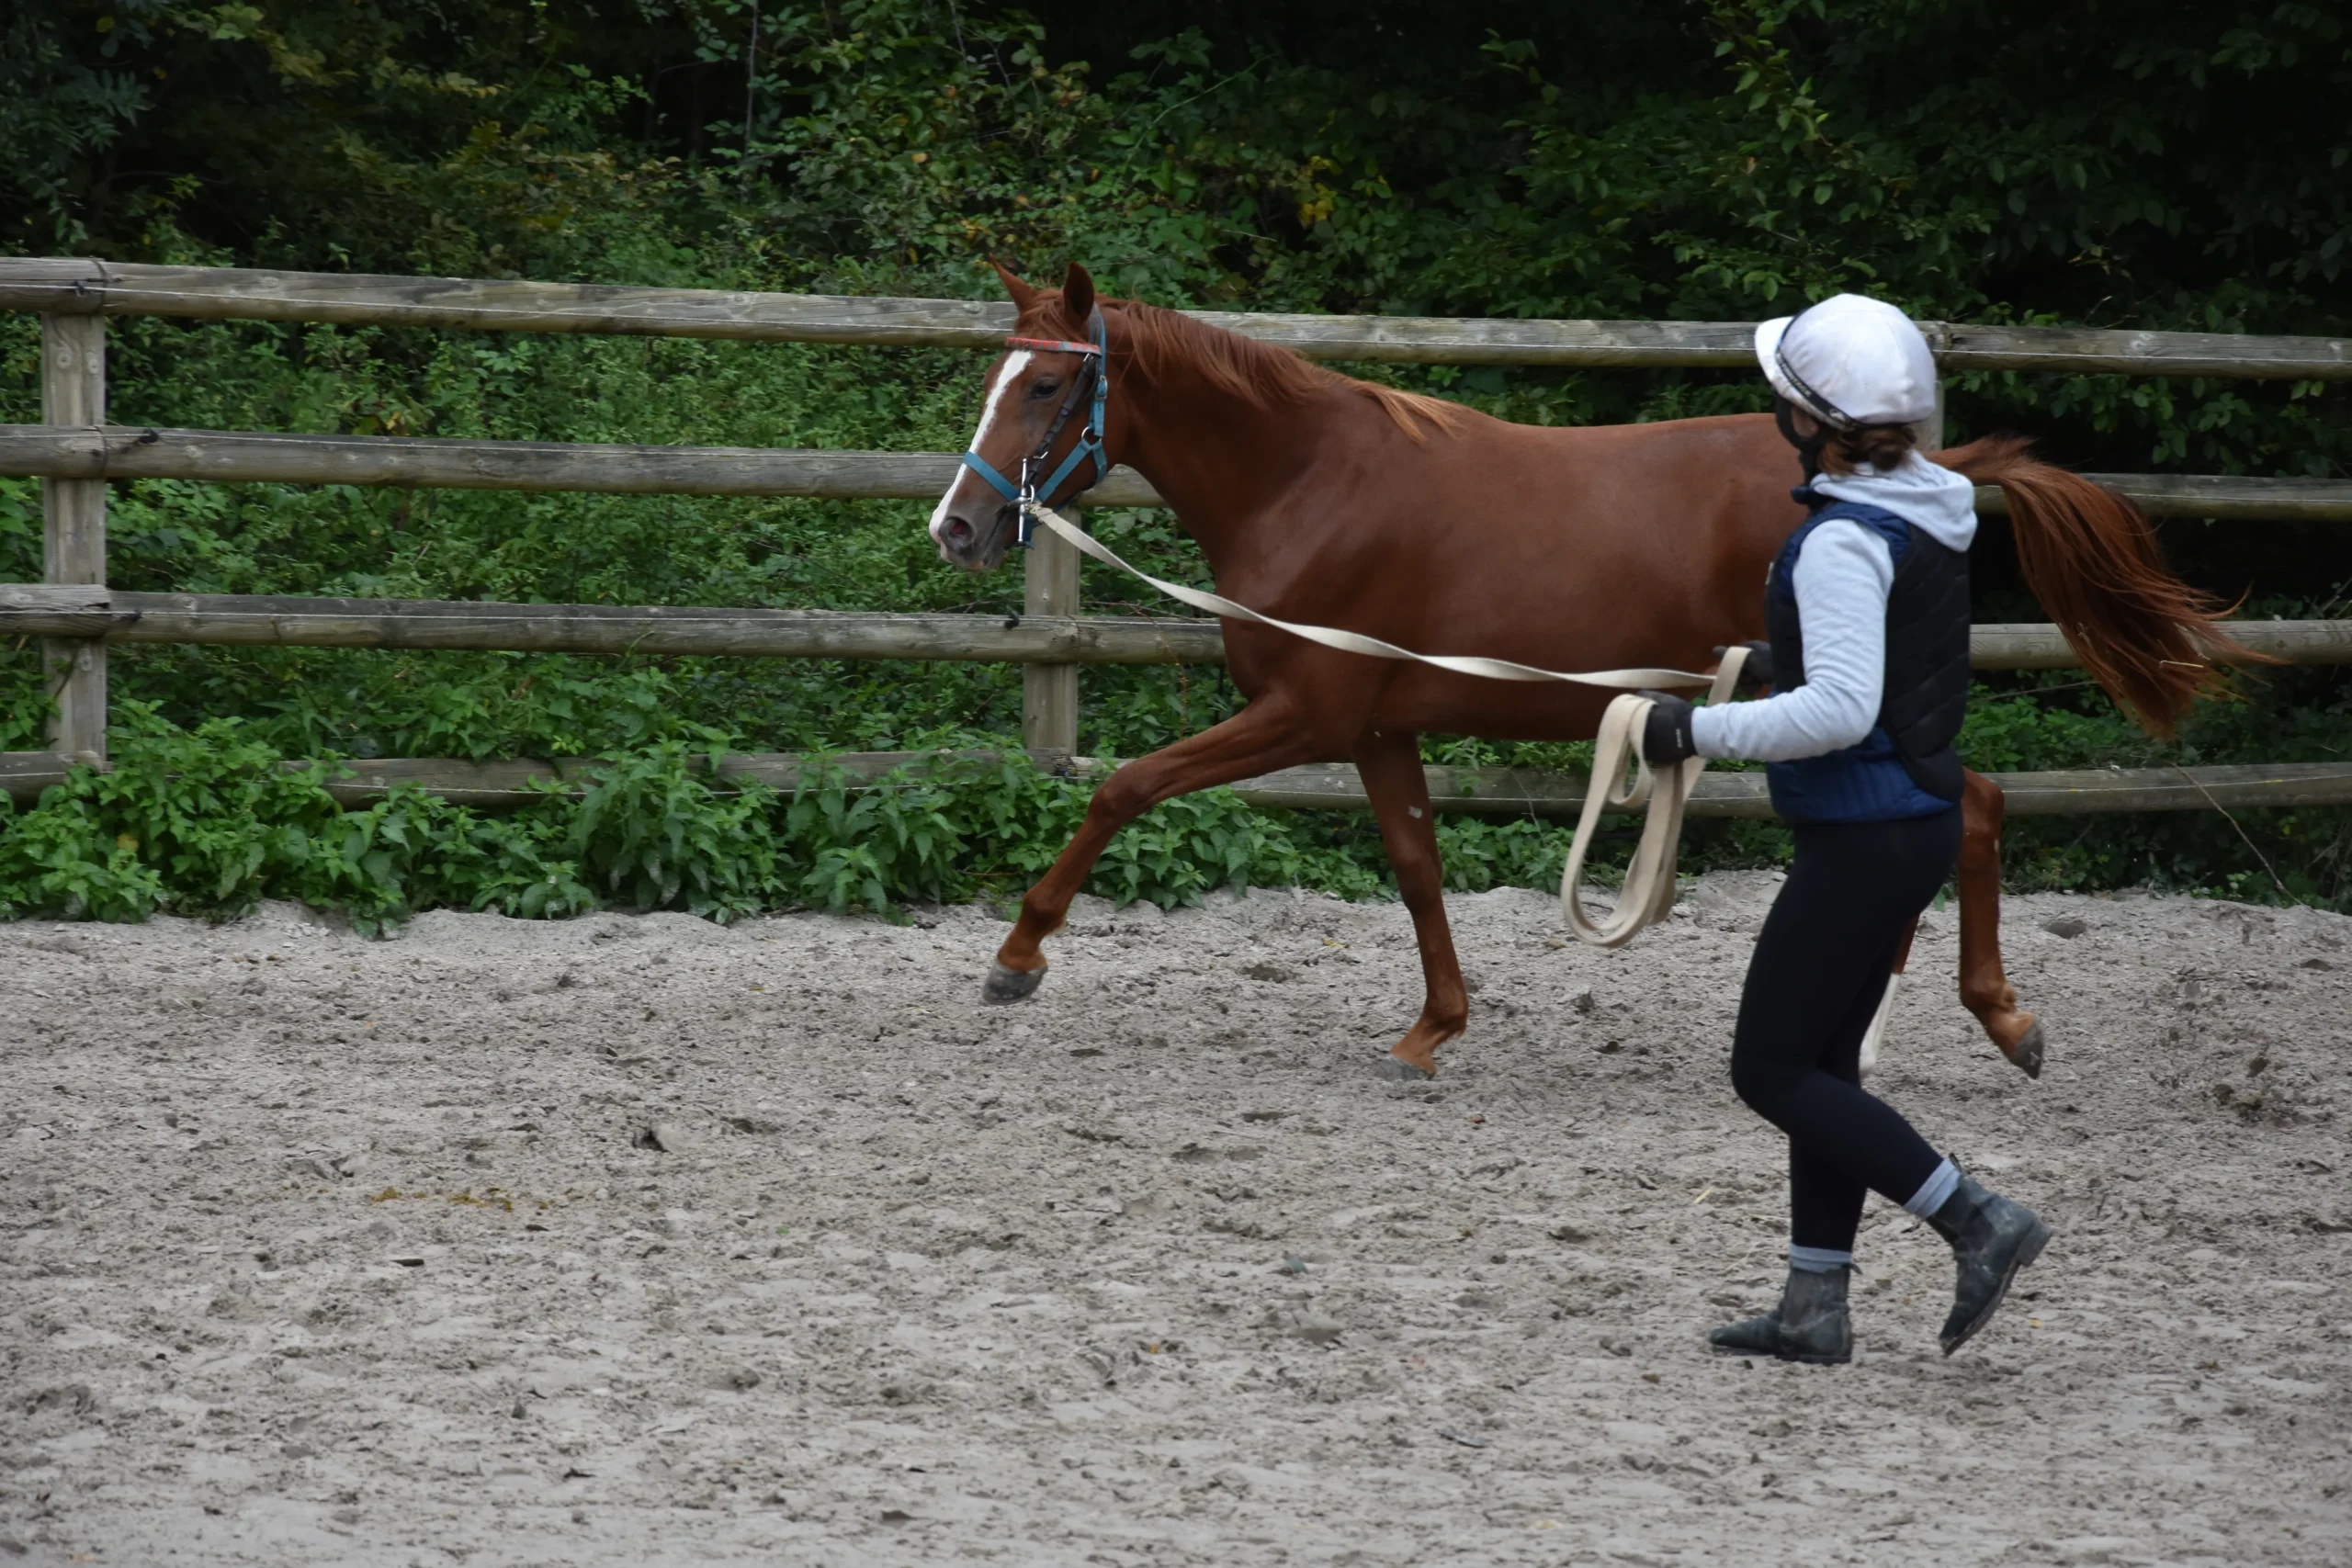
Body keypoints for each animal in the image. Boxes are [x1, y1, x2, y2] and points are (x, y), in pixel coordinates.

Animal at [926, 263, 2248, 1086]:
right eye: (999, 377)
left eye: (1046, 384)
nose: (957, 528)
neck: (1308, 485)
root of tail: (1914, 469)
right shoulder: (1375, 729)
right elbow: (1416, 867)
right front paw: (1433, 1029)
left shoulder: (1301, 713)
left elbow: (1123, 786)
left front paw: (1016, 959)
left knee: (1969, 806)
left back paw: (1993, 1022)